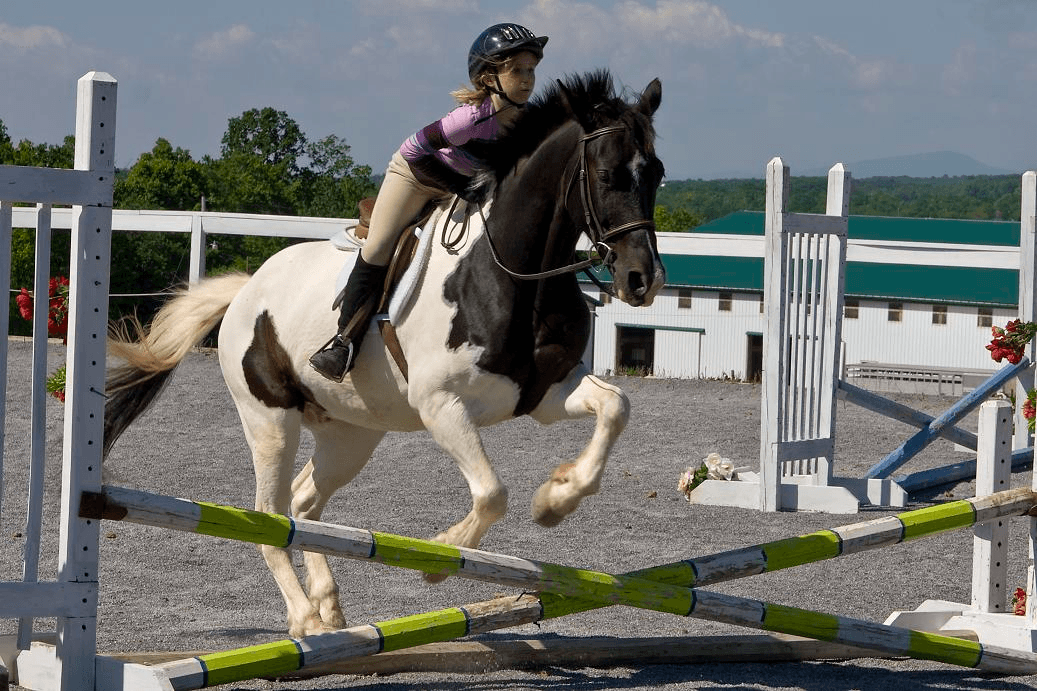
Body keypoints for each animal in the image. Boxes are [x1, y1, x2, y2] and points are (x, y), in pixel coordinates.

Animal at [103, 70, 663, 634]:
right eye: (609, 175)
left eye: (656, 175)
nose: (644, 280)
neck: (513, 275)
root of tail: (245, 291)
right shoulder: (440, 405)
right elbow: (491, 494)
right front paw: (442, 558)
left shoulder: (543, 393)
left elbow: (615, 406)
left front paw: (555, 499)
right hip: (269, 420)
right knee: (270, 516)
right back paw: (306, 618)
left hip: (350, 432)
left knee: (304, 503)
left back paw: (328, 605)